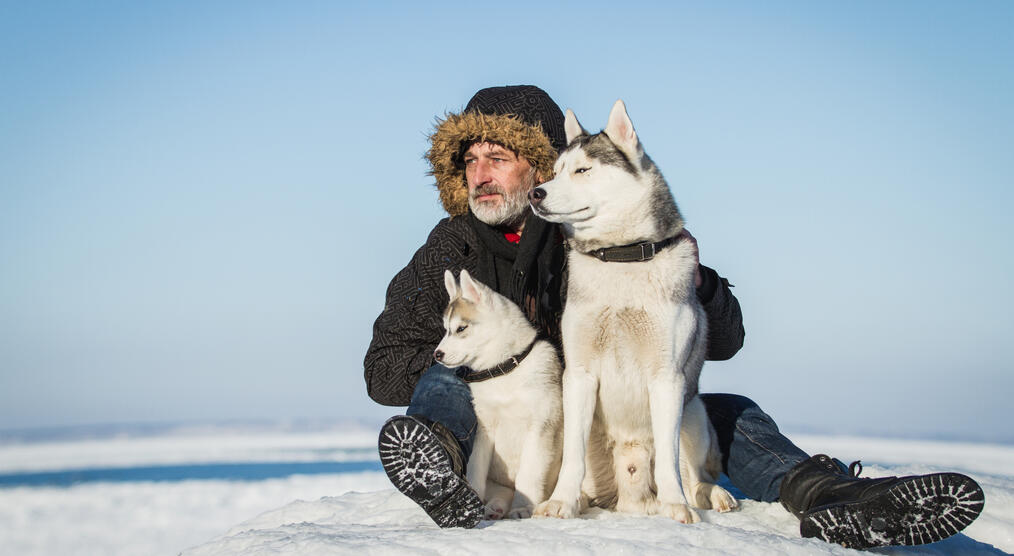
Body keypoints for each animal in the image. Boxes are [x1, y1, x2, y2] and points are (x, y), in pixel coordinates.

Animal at [433, 269, 567, 519]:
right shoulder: (484, 429)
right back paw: (494, 507)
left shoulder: (540, 425)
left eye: (461, 328)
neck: (504, 370)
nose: (437, 354)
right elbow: (475, 469)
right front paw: (471, 503)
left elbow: (528, 475)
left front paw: (523, 507)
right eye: (446, 329)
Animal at [531, 100, 738, 527]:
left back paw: (711, 495)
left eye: (583, 170)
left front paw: (675, 506)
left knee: (696, 475)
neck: (620, 257)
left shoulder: (666, 377)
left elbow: (671, 462)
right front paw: (561, 502)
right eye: (556, 170)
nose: (534, 193)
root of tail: (630, 497)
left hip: (693, 411)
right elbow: (572, 456)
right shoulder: (578, 374)